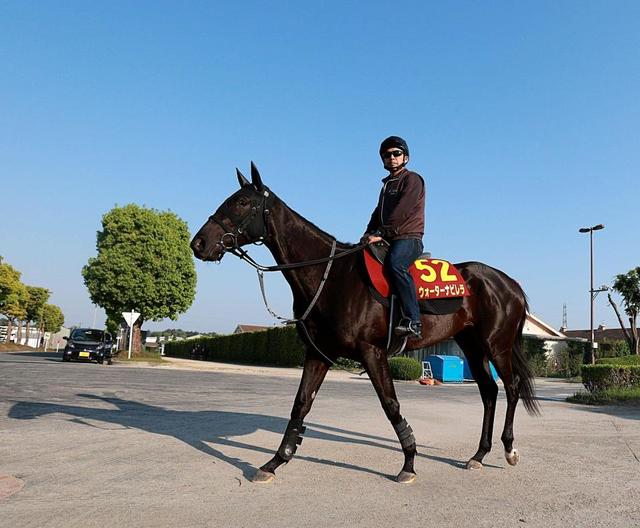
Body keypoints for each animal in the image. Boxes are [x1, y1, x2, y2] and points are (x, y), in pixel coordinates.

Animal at [191, 163, 540, 484]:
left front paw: (409, 463)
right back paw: (479, 454)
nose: (199, 243)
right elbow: (300, 405)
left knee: (510, 387)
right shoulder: (318, 353)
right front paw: (275, 461)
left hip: (496, 345)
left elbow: (391, 405)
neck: (331, 276)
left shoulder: (372, 352)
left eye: (241, 202)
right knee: (488, 391)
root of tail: (510, 284)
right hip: (471, 345)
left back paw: (509, 449)